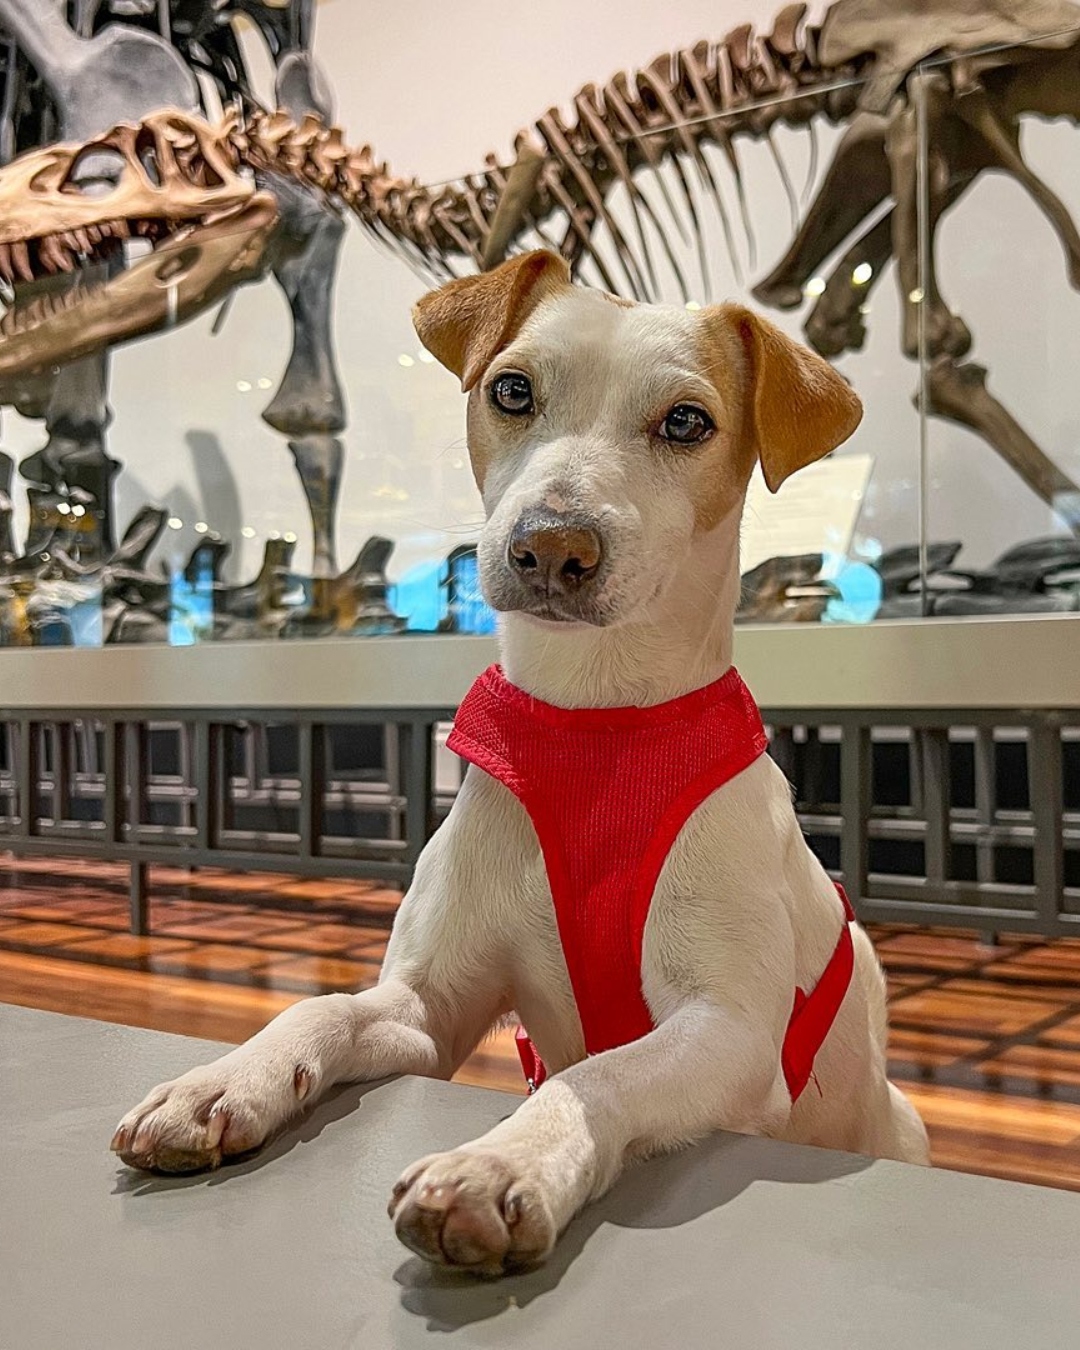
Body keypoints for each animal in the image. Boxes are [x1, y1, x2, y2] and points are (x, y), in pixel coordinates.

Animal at [111, 250, 930, 1276]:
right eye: (511, 390)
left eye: (687, 421)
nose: (551, 545)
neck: (593, 726)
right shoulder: (427, 1010)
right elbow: (327, 1008)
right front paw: (223, 1081)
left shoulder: (734, 1033)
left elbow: (600, 1075)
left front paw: (500, 1163)